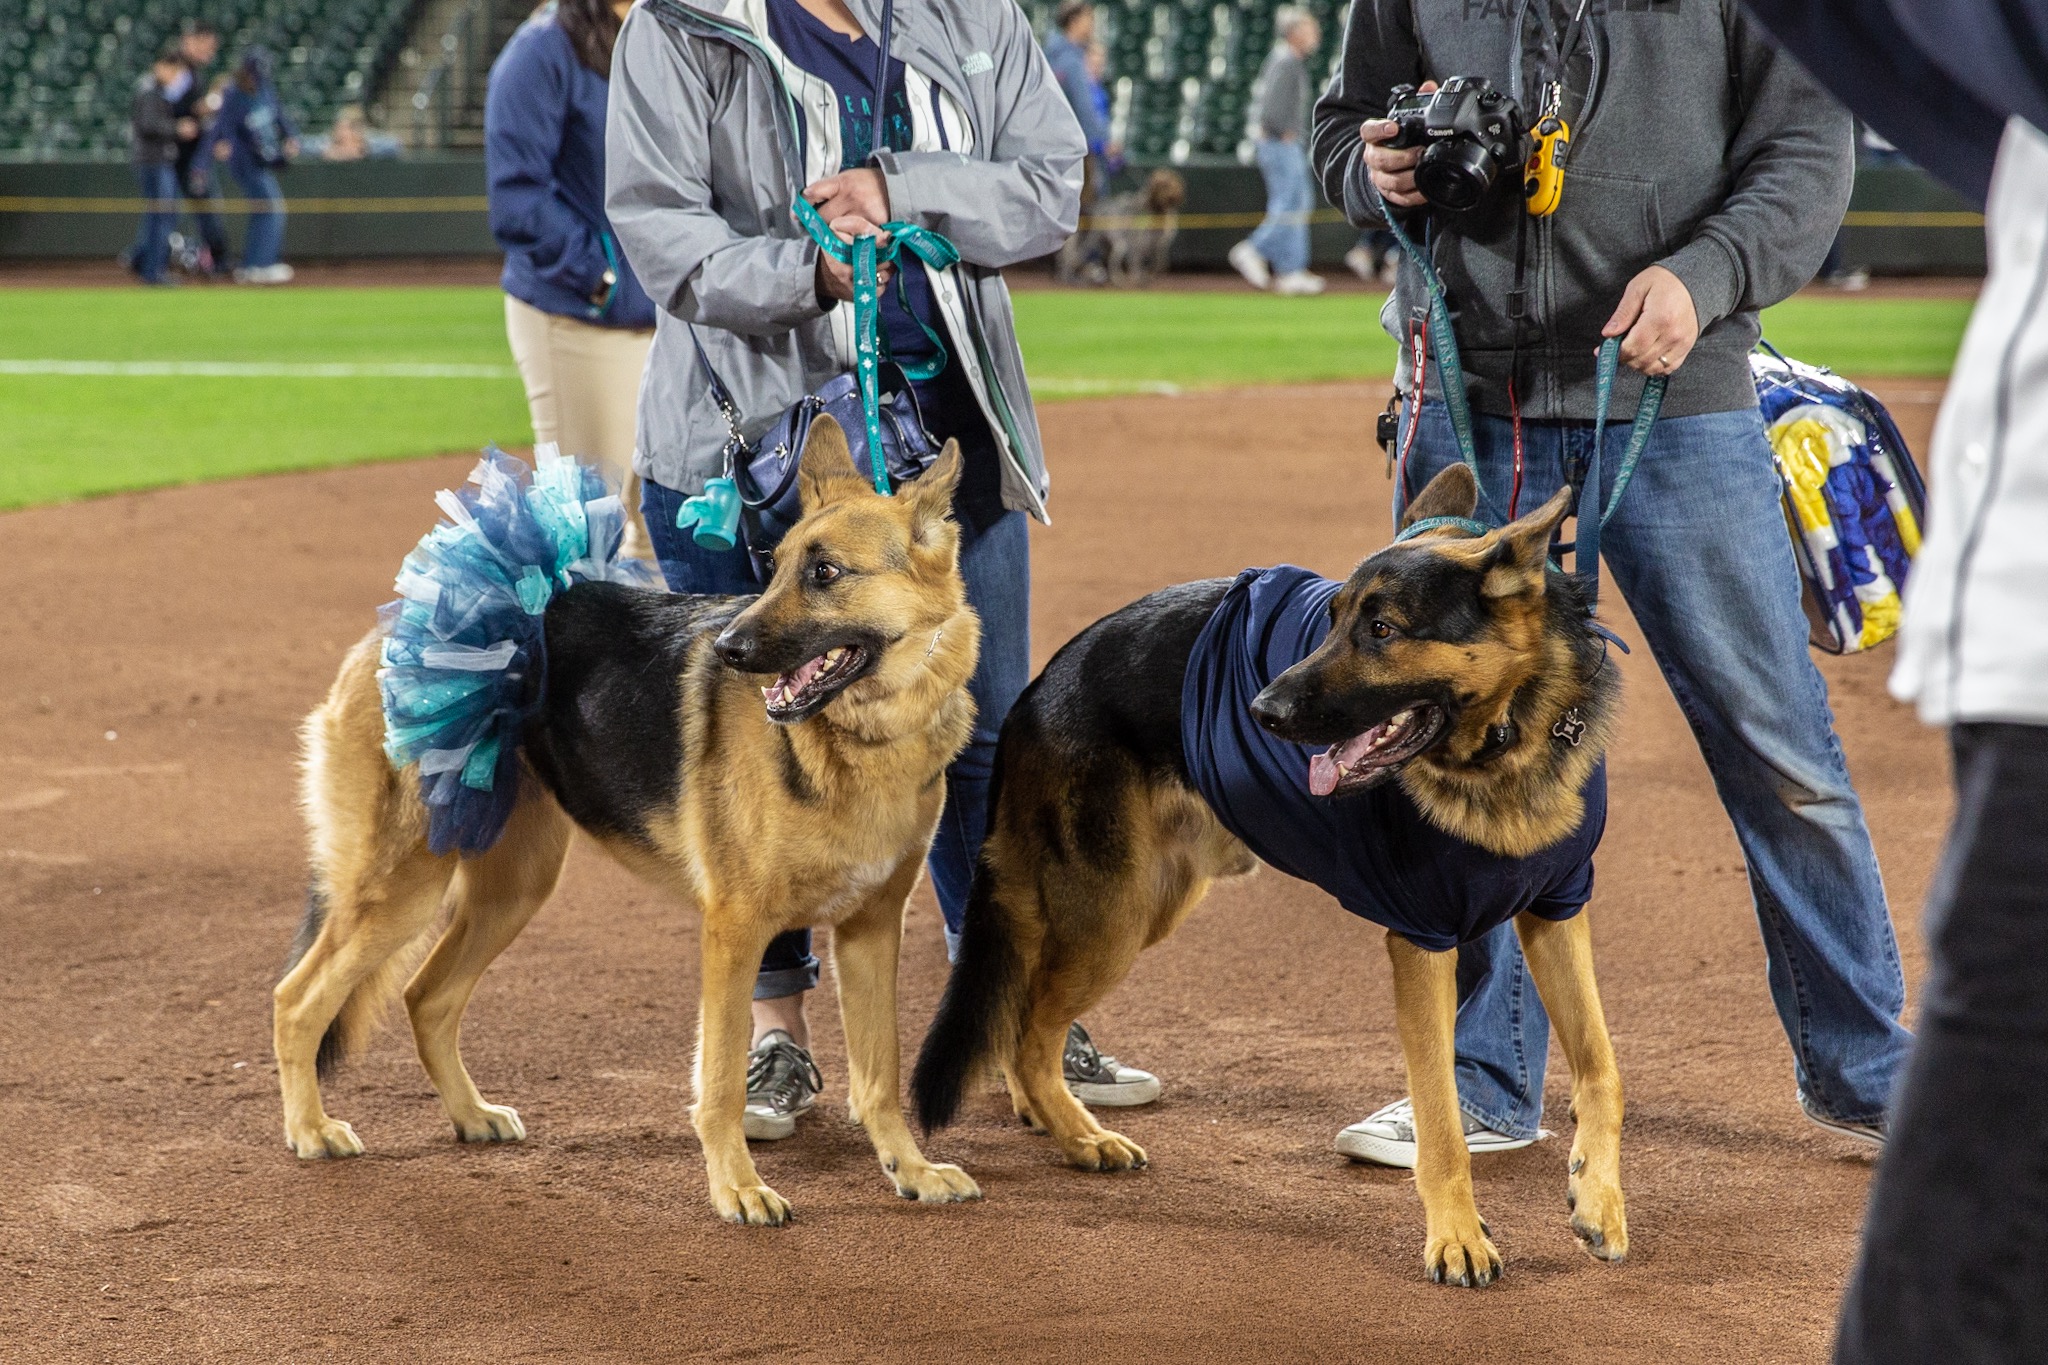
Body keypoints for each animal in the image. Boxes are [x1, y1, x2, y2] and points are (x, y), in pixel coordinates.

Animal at [278, 421, 983, 1219]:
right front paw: (738, 1187)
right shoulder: (735, 931)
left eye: (826, 572)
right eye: (773, 569)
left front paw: (911, 1169)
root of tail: (391, 630)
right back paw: (310, 1129)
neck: (860, 739)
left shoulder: (870, 931)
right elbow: (720, 1082)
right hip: (403, 887)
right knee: (296, 1000)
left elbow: (880, 1076)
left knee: (425, 996)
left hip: (512, 889)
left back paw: (470, 1115)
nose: (726, 650)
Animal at [921, 466, 1622, 1285]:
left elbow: (1601, 1066)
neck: (1512, 736)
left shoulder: (1555, 912)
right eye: (1334, 621)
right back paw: (1081, 1136)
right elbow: (1442, 1120)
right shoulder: (1421, 943)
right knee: (1028, 1031)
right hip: (1113, 918)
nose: (1262, 709)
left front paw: (1599, 1199)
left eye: (1383, 630)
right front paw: (1457, 1237)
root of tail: (1040, 685)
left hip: (1141, 906)